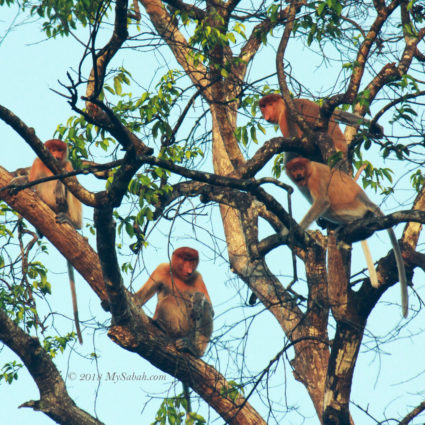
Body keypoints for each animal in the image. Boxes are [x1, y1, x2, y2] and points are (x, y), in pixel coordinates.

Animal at [28, 139, 83, 342]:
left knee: (74, 191)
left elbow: (70, 181)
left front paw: (60, 185)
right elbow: (30, 183)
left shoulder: (68, 164)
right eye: (52, 149)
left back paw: (74, 223)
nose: (57, 156)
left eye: (60, 150)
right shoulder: (37, 162)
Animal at [284, 157, 408, 316]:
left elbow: (322, 202)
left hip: (349, 207)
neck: (310, 170)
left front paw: (292, 230)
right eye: (294, 169)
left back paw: (347, 224)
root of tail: (364, 199)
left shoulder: (315, 180)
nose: (298, 174)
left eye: (300, 168)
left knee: (330, 207)